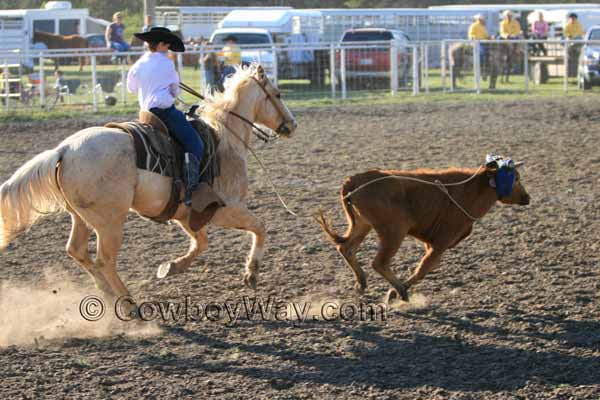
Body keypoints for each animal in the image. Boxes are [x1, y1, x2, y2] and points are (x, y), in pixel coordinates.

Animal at [0, 64, 298, 304]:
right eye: (278, 94)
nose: (292, 125)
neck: (224, 138)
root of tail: (63, 150)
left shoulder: (186, 215)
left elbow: (201, 243)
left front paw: (173, 267)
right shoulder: (226, 209)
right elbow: (260, 227)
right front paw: (252, 273)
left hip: (81, 217)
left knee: (77, 251)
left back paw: (107, 294)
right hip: (110, 222)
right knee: (104, 260)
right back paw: (129, 304)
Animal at [318, 159, 528, 304]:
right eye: (516, 178)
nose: (527, 198)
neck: (470, 190)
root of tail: (354, 181)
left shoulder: (433, 244)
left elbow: (430, 266)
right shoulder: (441, 242)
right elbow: (423, 268)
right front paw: (393, 293)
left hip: (363, 224)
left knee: (347, 249)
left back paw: (362, 282)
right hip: (394, 231)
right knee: (379, 262)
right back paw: (400, 291)